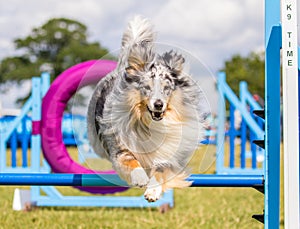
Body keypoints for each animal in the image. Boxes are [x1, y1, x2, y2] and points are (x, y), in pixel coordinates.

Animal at [86, 16, 204, 202]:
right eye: (147, 87)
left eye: (166, 88)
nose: (158, 104)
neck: (148, 122)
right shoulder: (119, 145)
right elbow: (129, 159)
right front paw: (140, 177)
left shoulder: (169, 152)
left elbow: (161, 169)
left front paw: (152, 191)